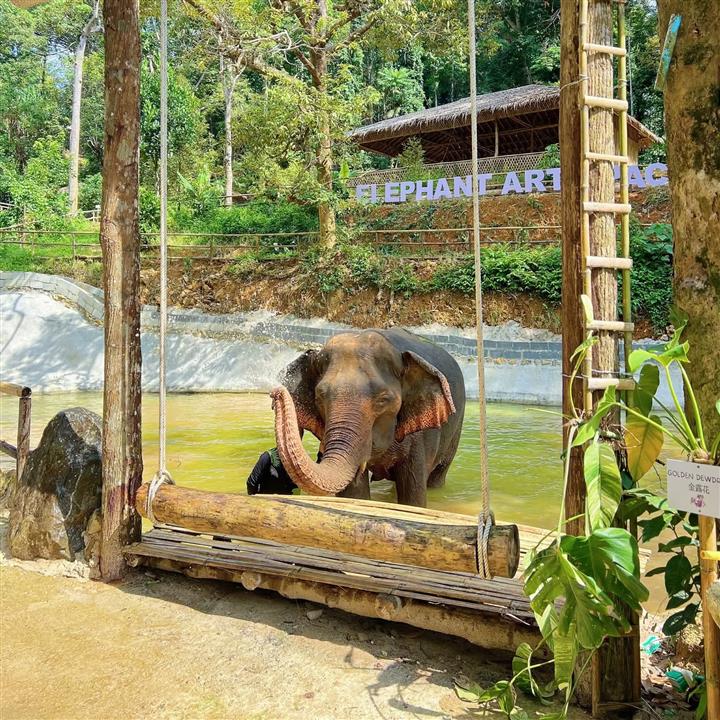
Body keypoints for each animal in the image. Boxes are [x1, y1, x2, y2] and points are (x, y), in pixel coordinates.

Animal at [270, 327, 465, 507]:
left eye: (383, 400)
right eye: (319, 397)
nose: (275, 393)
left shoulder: (420, 438)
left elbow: (413, 494)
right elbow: (355, 493)